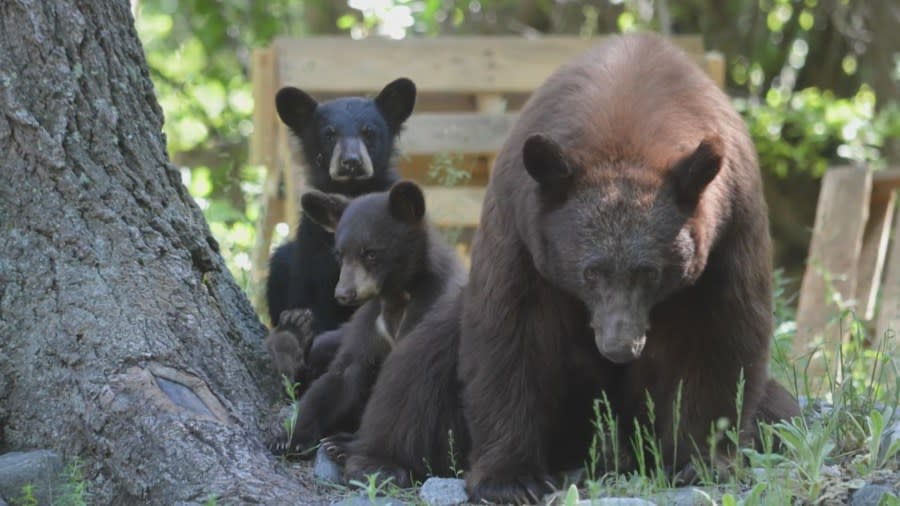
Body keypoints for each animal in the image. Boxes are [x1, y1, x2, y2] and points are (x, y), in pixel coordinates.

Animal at [460, 33, 800, 504]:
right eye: (590, 272)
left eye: (650, 272)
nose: (620, 347)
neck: (626, 125)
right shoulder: (521, 232)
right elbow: (512, 334)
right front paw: (510, 478)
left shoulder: (729, 228)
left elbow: (720, 335)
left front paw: (700, 460)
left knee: (782, 410)